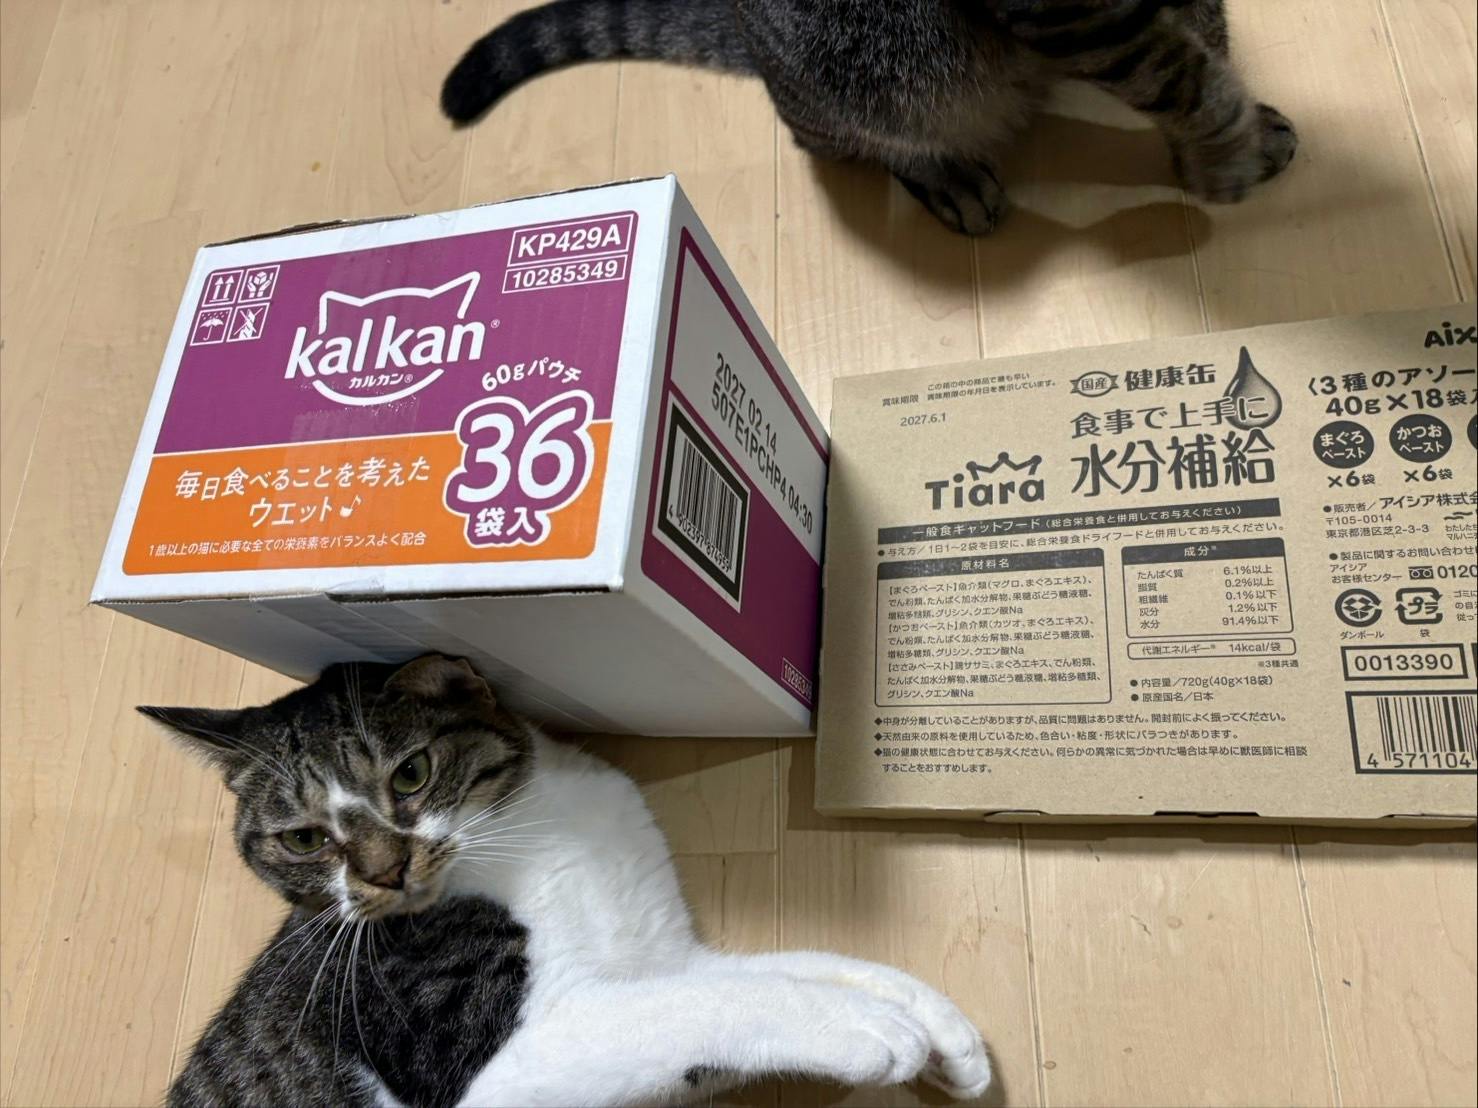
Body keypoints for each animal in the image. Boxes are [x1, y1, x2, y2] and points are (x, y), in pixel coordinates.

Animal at [149, 655, 991, 1107]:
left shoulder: (663, 955)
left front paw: (940, 1026)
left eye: (411, 775)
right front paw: (866, 1028)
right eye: (303, 839)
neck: (534, 831)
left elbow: (784, 968)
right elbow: (686, 1007)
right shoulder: (490, 1074)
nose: (385, 873)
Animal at [440, 0, 1297, 235]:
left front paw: (1237, 132)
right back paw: (949, 179)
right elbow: (1175, 72)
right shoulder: (1068, 9)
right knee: (859, 141)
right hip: (863, 78)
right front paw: (1224, 150)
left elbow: (1203, 35)